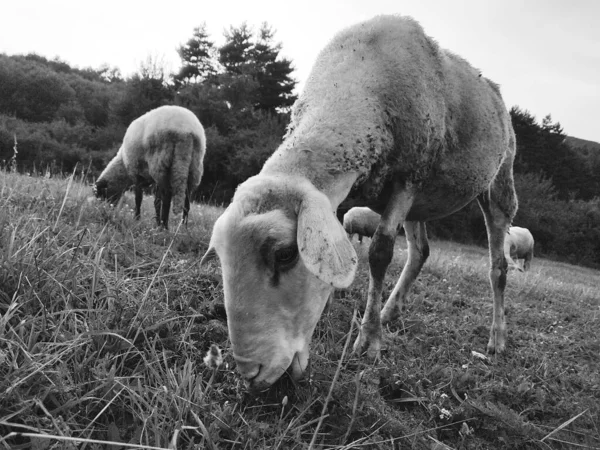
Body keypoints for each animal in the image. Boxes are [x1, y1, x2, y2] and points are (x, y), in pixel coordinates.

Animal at [200, 14, 516, 390]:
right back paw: (389, 312)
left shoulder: (407, 178)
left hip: (497, 182)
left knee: (498, 266)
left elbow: (379, 253)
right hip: (421, 201)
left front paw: (368, 342)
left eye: (285, 254)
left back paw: (497, 339)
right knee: (421, 252)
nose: (250, 375)